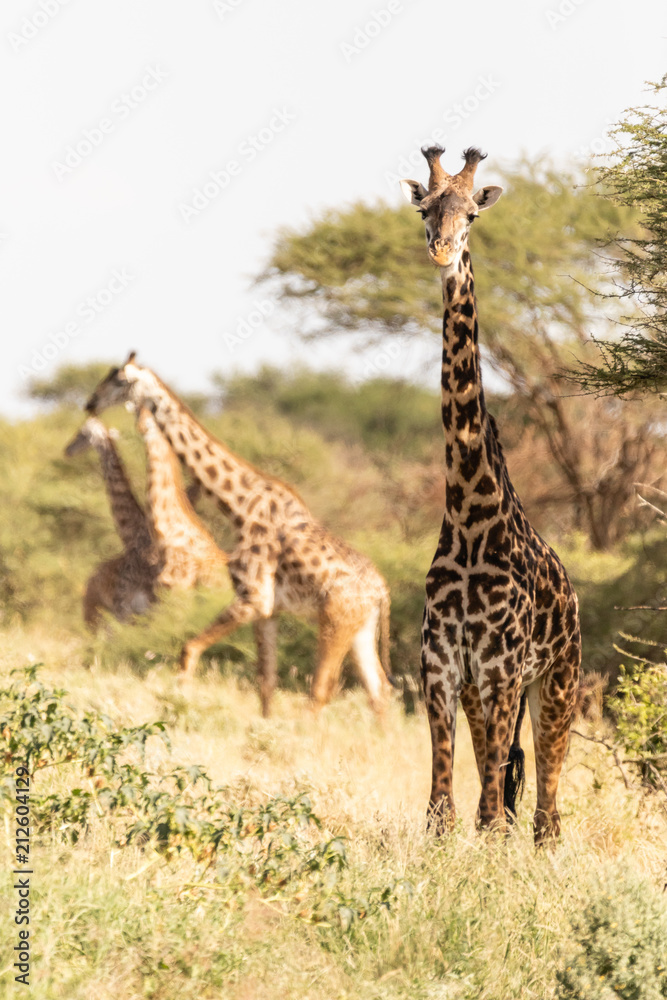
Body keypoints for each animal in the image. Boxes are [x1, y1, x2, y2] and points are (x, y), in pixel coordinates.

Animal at [84, 356, 393, 717]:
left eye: (119, 380)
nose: (90, 403)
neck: (238, 507)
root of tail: (382, 591)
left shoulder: (252, 598)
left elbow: (188, 649)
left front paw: (178, 704)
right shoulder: (267, 610)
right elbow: (265, 682)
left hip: (336, 619)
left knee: (321, 690)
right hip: (361, 626)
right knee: (378, 689)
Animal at [400, 146, 581, 844]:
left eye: (471, 213)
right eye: (425, 207)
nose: (441, 249)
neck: (471, 517)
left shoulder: (503, 667)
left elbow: (490, 813)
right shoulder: (445, 667)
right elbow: (443, 807)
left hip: (559, 682)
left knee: (545, 808)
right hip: (488, 694)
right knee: (499, 785)